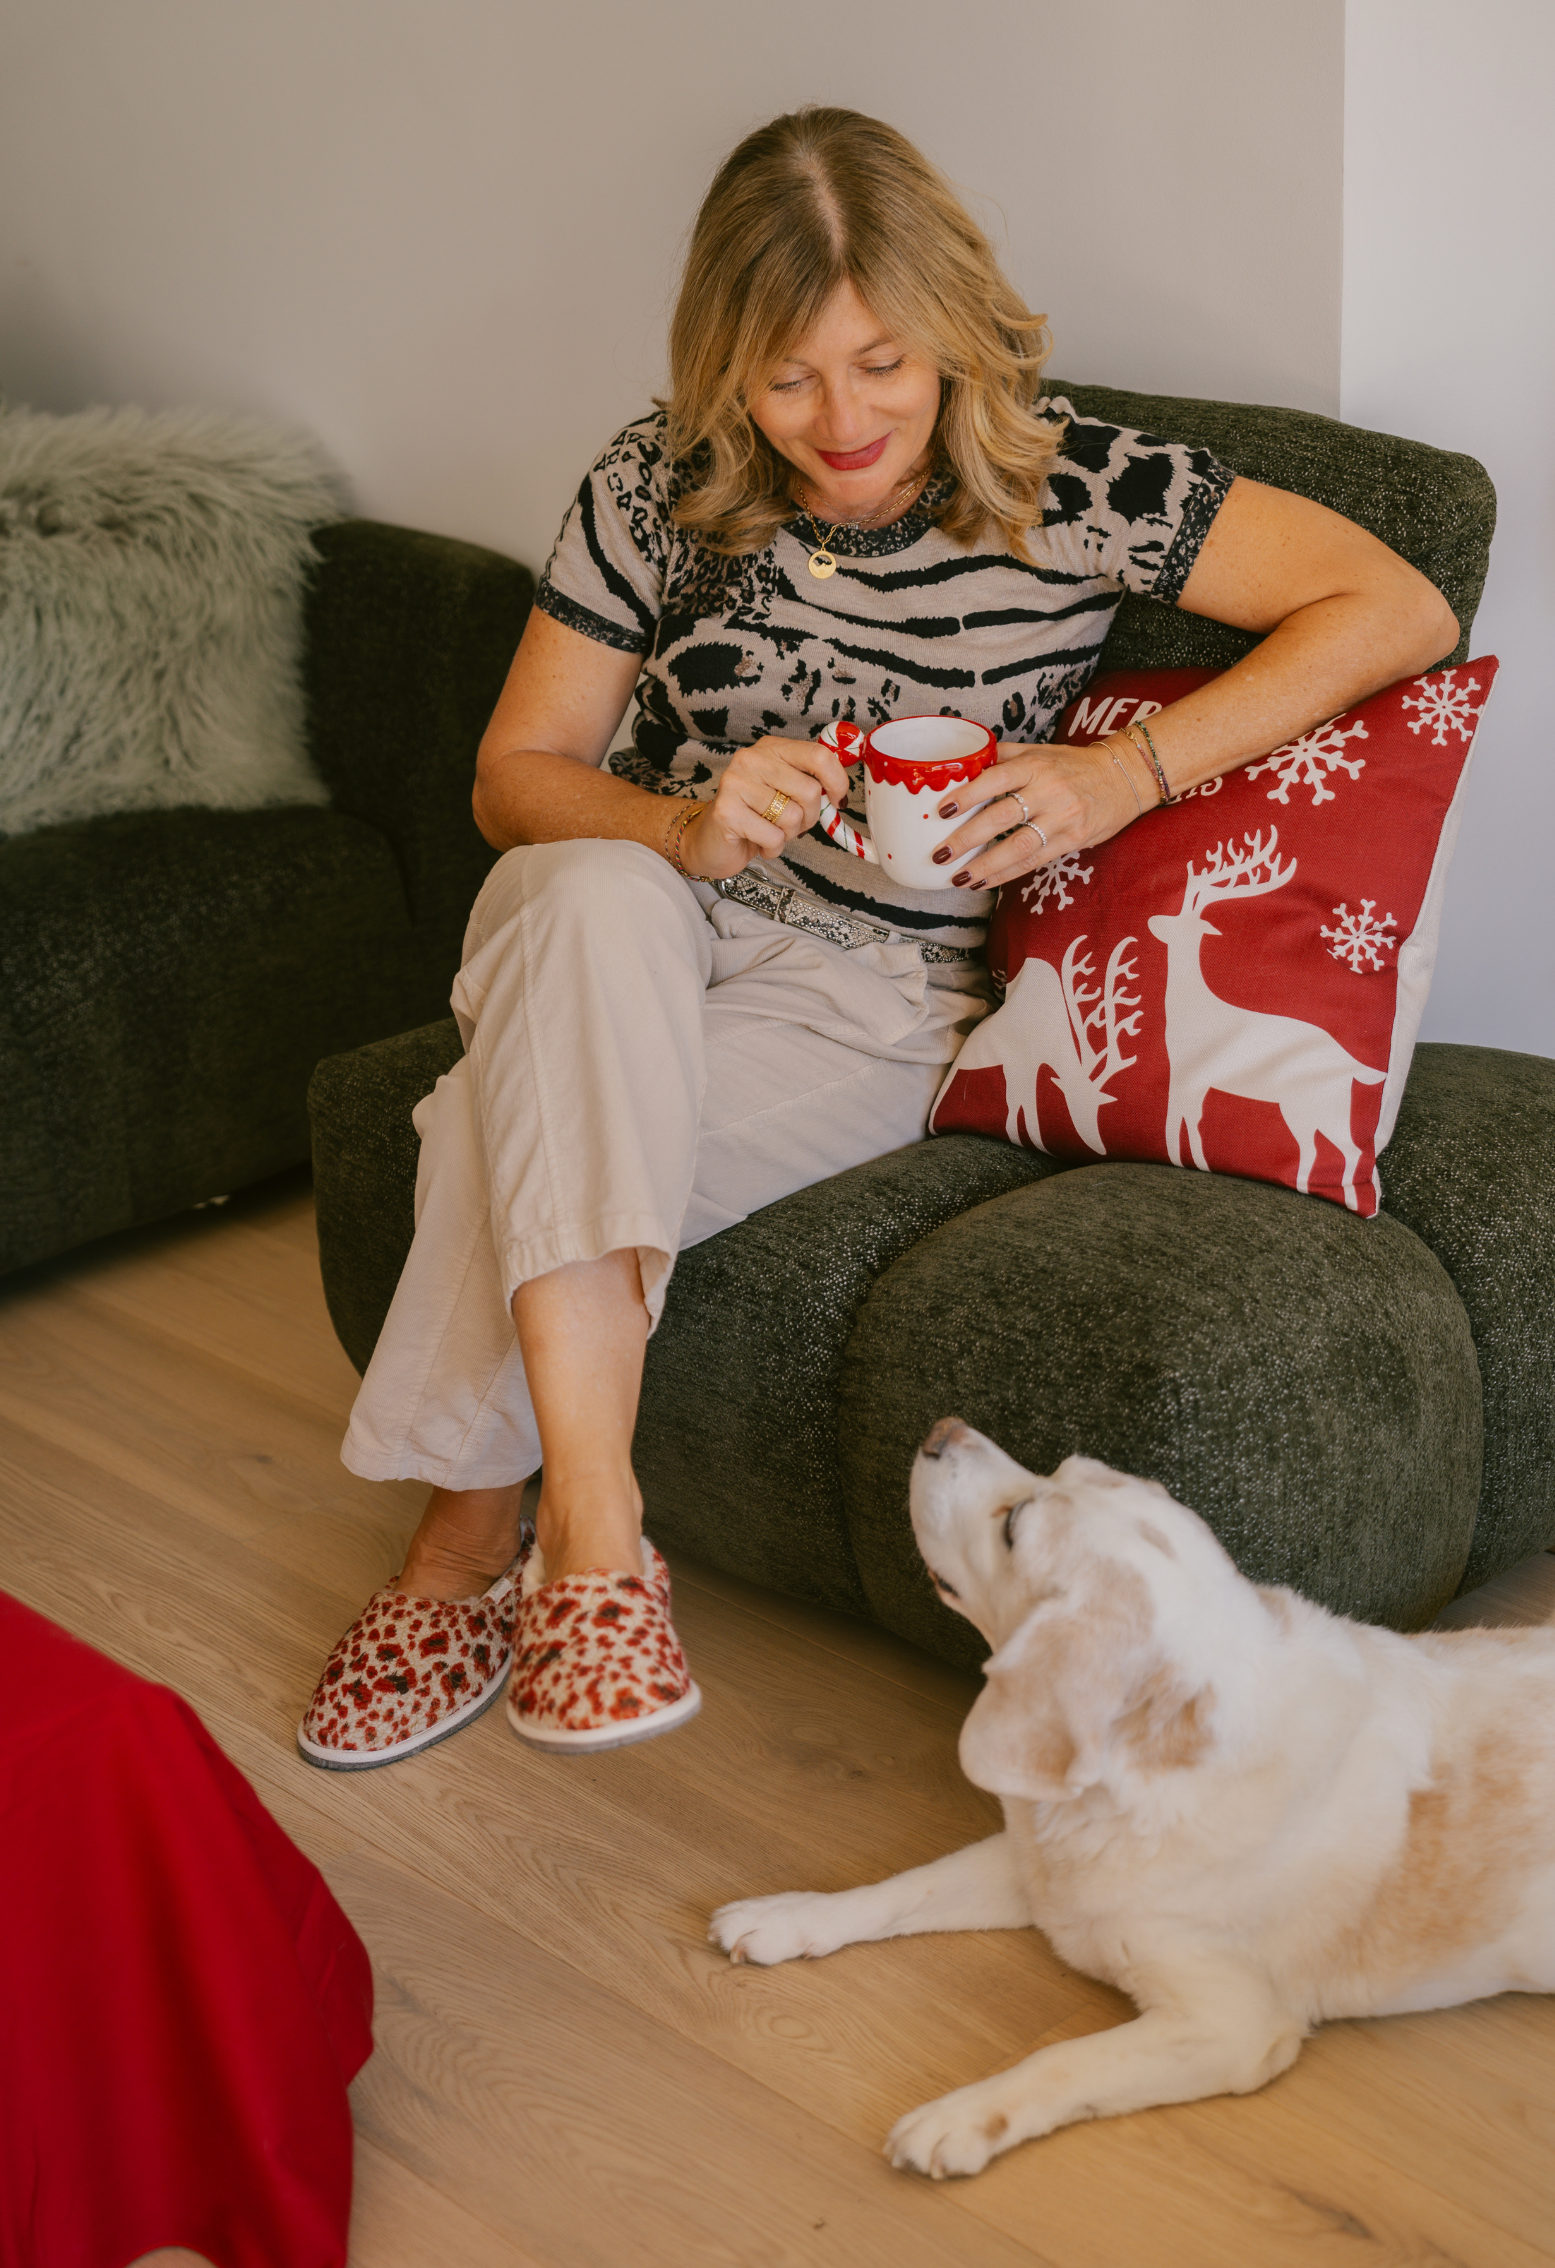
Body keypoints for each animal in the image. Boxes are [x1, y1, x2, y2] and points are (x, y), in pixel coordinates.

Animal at [711, 1415, 1555, 2177]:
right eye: (1062, 1466)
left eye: (1013, 1525)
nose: (942, 1428)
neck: (1138, 1777)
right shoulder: (1046, 1872)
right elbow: (900, 1889)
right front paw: (789, 1916)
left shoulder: (1231, 2026)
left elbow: (1062, 2059)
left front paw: (960, 2116)